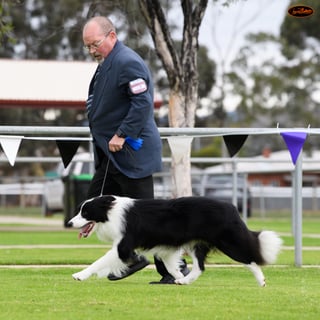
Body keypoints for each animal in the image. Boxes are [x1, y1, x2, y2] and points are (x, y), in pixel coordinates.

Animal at [68, 196, 282, 286]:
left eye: (85, 212)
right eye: (80, 210)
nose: (70, 223)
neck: (110, 212)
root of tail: (231, 207)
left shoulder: (124, 244)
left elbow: (101, 260)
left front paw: (79, 275)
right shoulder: (167, 249)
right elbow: (172, 266)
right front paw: (178, 277)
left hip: (228, 241)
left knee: (249, 258)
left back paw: (261, 280)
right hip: (197, 244)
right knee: (200, 267)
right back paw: (185, 281)